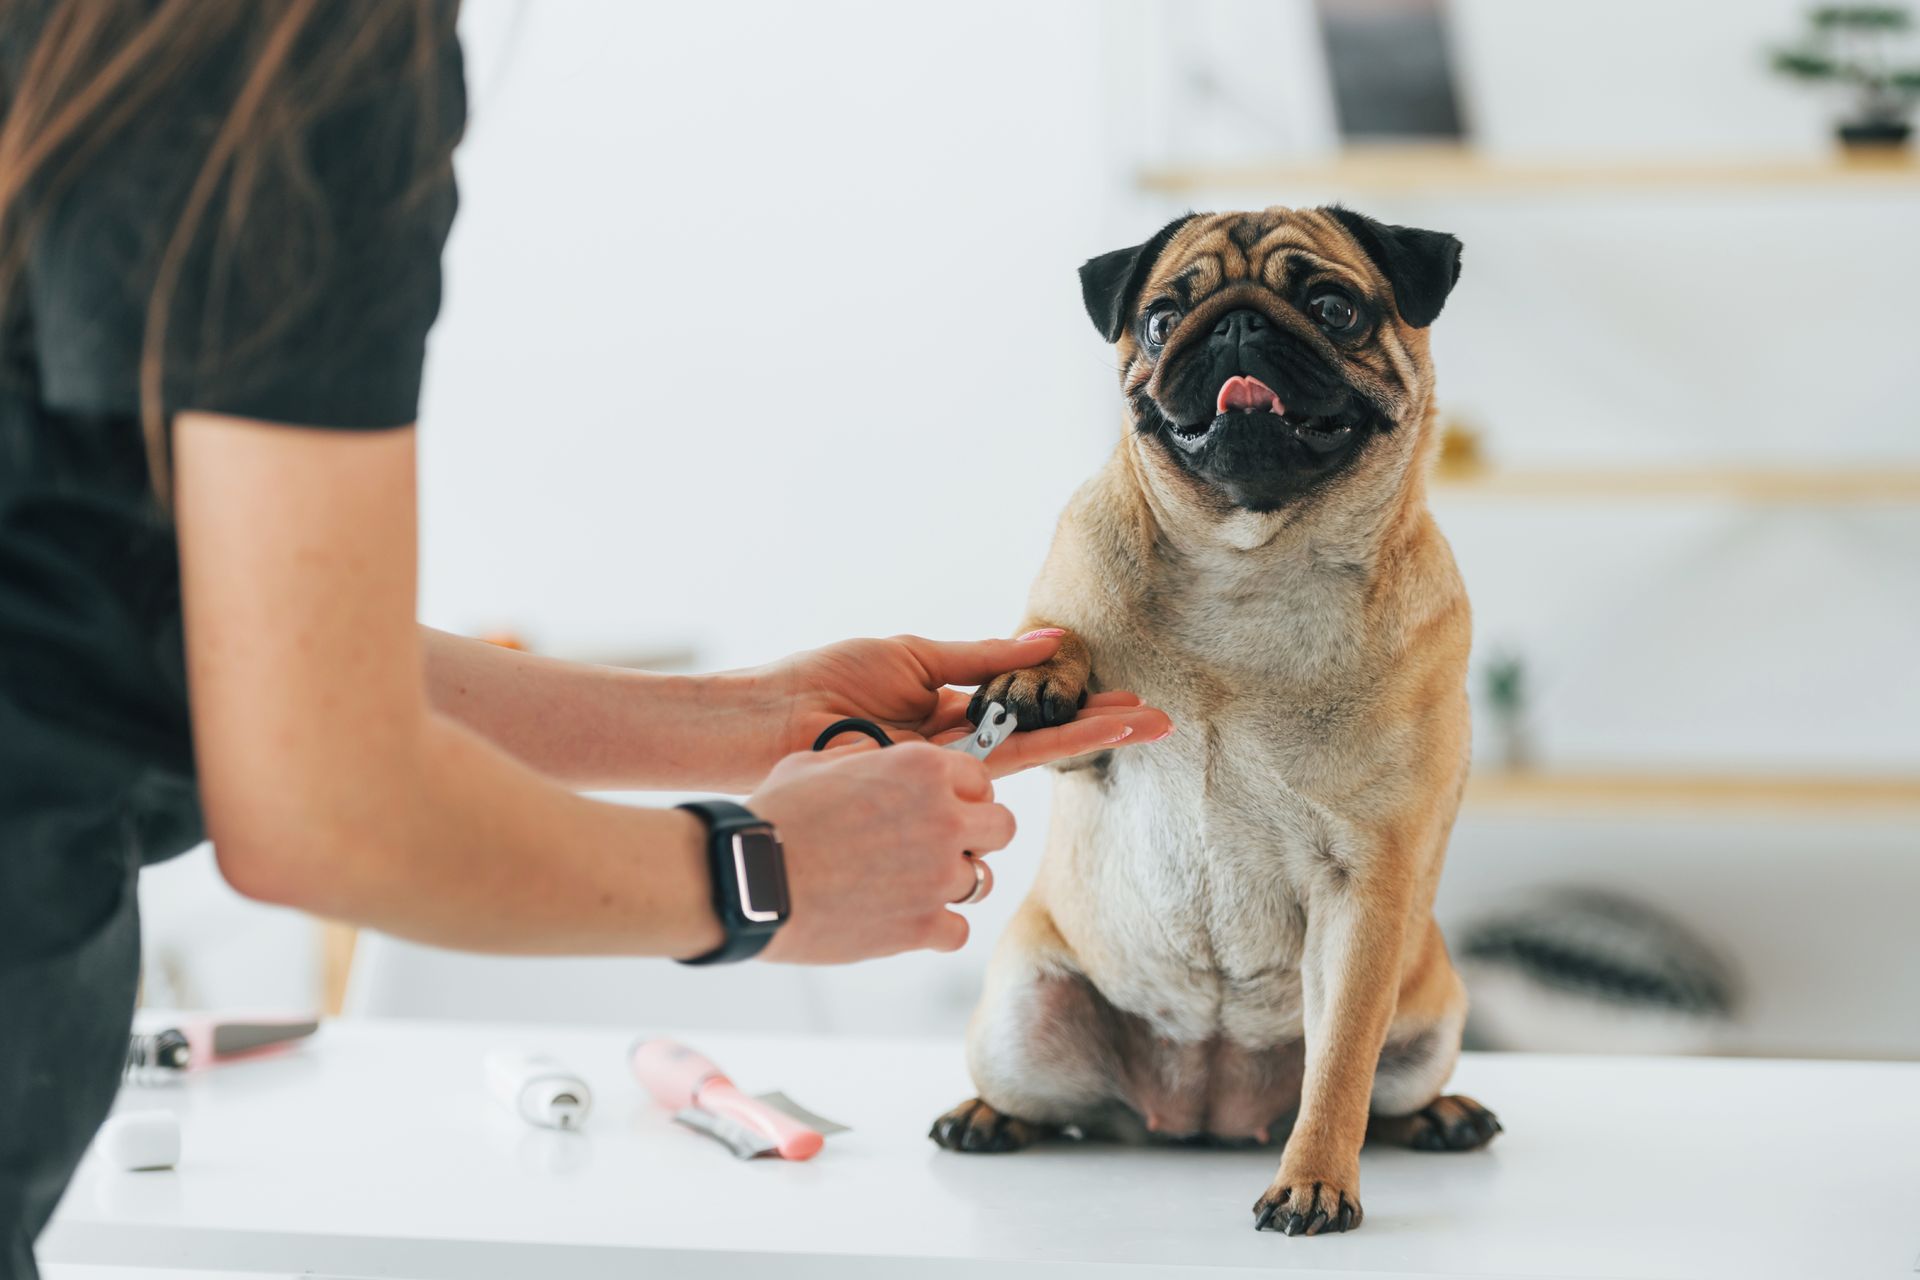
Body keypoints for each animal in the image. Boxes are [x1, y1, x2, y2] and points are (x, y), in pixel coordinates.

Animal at [929, 205, 1497, 1235]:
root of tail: (1202, 1108)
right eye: (1160, 320)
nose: (1235, 323)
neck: (1252, 562)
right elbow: (1056, 631)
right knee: (1047, 1103)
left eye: (1334, 306)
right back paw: (987, 1117)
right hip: (1017, 1020)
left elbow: (1339, 1072)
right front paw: (1040, 675)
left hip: (1431, 1019)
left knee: (1381, 1093)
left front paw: (1316, 1180)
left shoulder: (1367, 886)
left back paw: (1443, 1115)